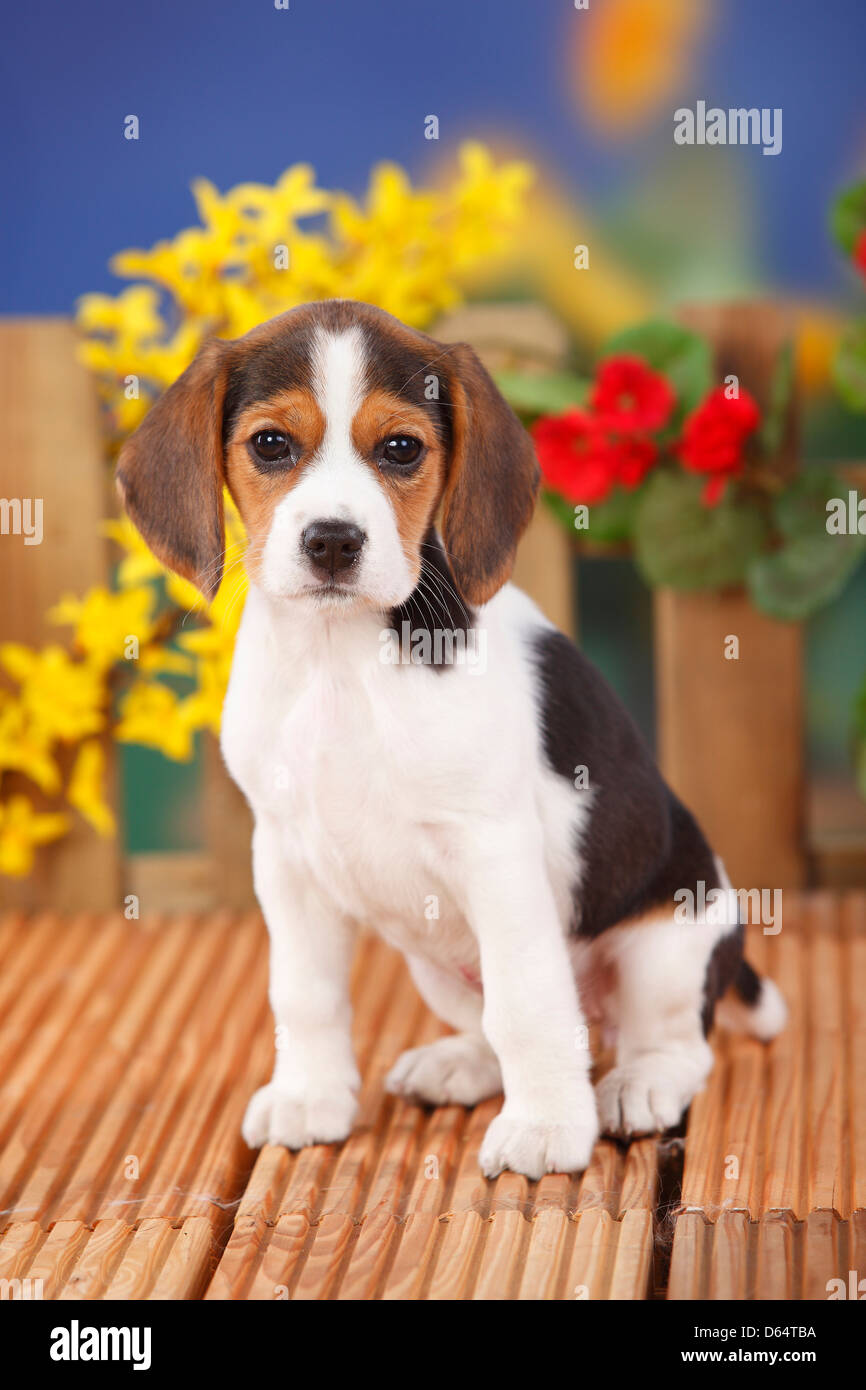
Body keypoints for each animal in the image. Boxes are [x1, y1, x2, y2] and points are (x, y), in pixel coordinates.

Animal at [115, 298, 783, 1178]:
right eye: (270, 444)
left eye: (401, 449)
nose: (333, 541)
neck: (338, 659)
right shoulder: (285, 858)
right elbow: (305, 993)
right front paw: (310, 1096)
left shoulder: (493, 852)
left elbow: (528, 1004)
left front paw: (544, 1127)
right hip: (435, 966)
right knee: (501, 1027)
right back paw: (460, 1065)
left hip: (669, 944)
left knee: (670, 1044)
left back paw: (636, 1086)